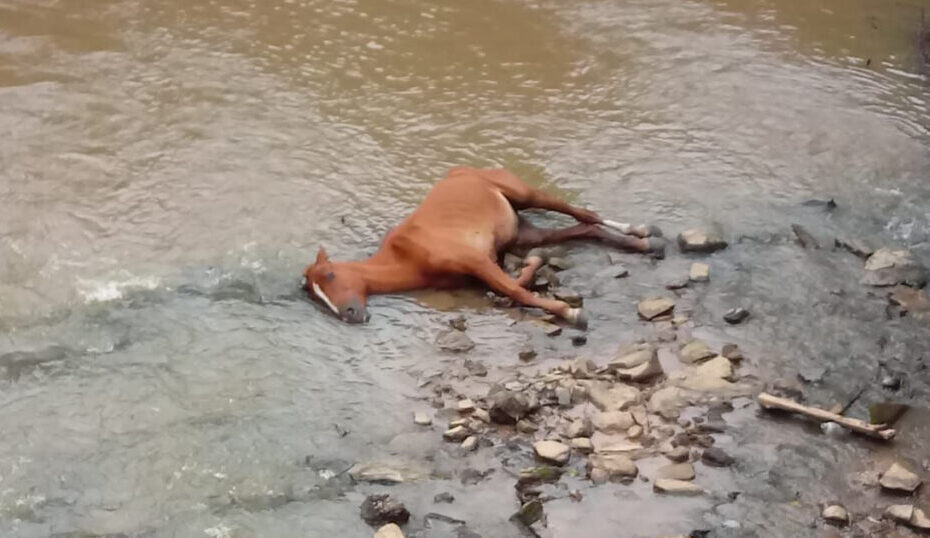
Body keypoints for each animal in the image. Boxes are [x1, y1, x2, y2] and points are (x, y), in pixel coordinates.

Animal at [300, 168, 664, 326]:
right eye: (315, 298)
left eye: (330, 275)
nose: (350, 314)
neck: (408, 257)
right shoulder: (486, 265)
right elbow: (511, 287)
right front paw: (534, 268)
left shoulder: (477, 261)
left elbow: (515, 291)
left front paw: (571, 312)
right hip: (524, 232)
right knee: (584, 228)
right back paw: (644, 244)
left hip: (526, 194)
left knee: (585, 214)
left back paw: (643, 231)